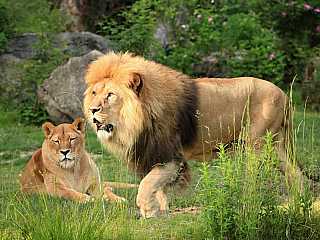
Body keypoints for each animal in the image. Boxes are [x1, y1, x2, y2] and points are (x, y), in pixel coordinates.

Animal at [83, 51, 308, 218]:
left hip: (258, 145)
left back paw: (247, 204)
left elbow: (147, 183)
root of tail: (284, 95)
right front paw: (162, 212)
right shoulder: (155, 153)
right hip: (275, 145)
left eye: (110, 95)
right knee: (294, 173)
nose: (92, 110)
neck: (137, 120)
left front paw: (148, 211)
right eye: (94, 93)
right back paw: (298, 205)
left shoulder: (173, 155)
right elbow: (158, 186)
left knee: (254, 181)